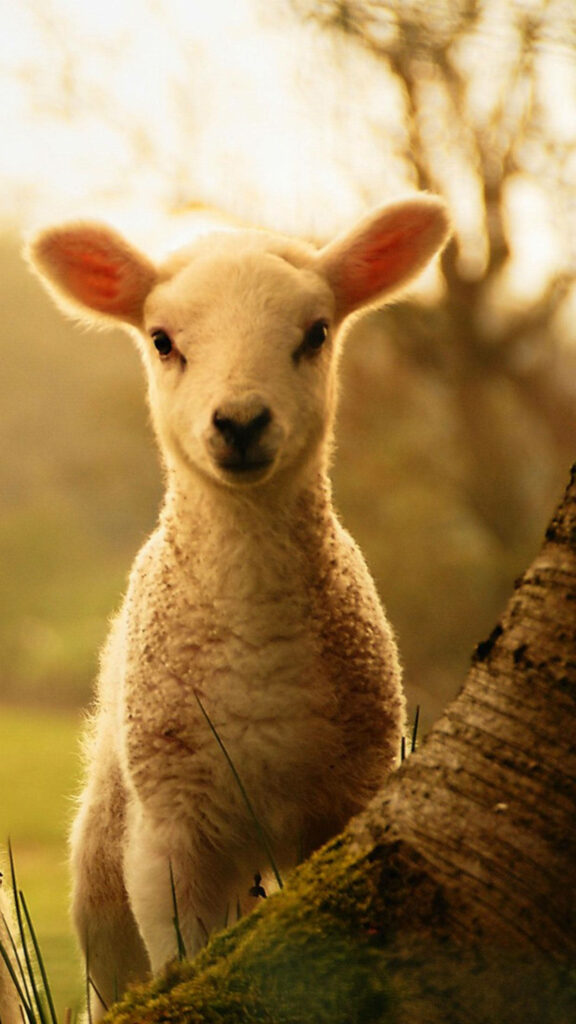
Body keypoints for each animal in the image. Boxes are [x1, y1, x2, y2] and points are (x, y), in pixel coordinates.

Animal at [28, 194, 450, 1020]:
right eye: (162, 341)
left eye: (316, 333)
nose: (242, 422)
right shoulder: (171, 832)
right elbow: (180, 960)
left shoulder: (344, 802)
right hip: (104, 852)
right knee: (109, 970)